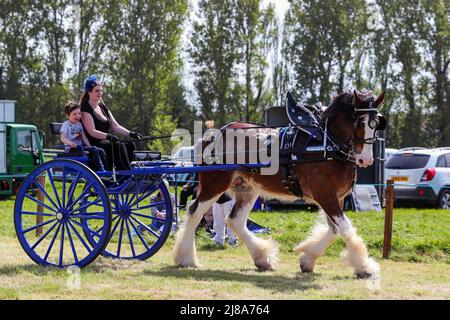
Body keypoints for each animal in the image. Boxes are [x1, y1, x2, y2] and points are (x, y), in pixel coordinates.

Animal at [173, 89, 386, 278]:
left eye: (376, 124)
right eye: (358, 122)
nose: (366, 160)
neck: (327, 145)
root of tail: (214, 135)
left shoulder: (336, 198)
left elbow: (334, 230)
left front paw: (307, 259)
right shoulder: (325, 195)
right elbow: (345, 229)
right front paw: (364, 267)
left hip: (247, 189)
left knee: (235, 221)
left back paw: (262, 258)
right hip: (215, 185)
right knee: (195, 212)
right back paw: (186, 259)